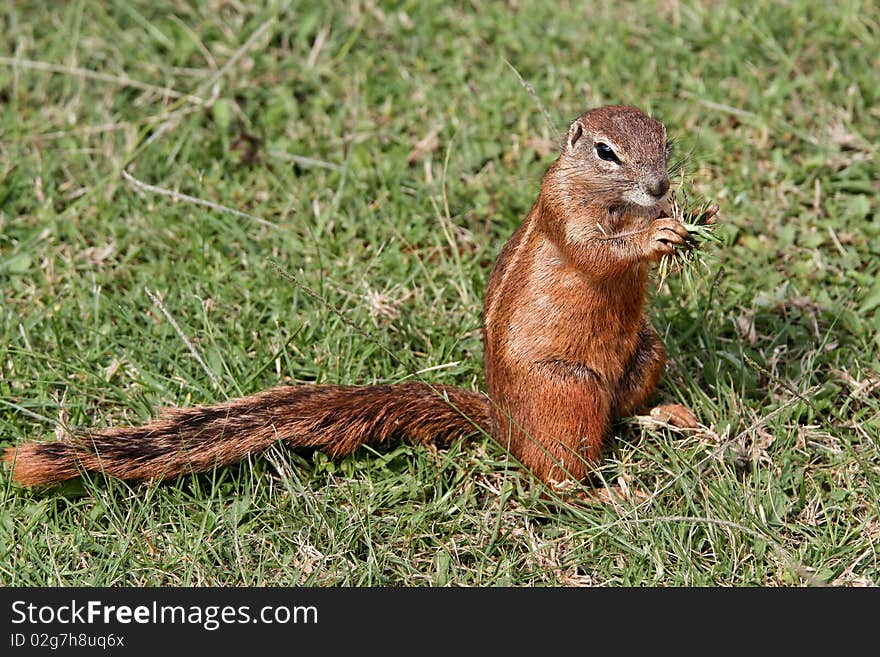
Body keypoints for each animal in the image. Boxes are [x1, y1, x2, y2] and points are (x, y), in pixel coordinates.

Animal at [5, 105, 708, 490]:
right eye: (606, 151)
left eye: (666, 142)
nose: (660, 185)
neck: (611, 198)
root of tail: (504, 423)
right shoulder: (564, 213)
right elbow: (597, 250)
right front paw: (660, 234)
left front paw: (680, 221)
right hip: (569, 388)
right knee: (555, 471)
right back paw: (601, 494)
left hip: (646, 352)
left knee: (625, 410)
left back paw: (672, 418)